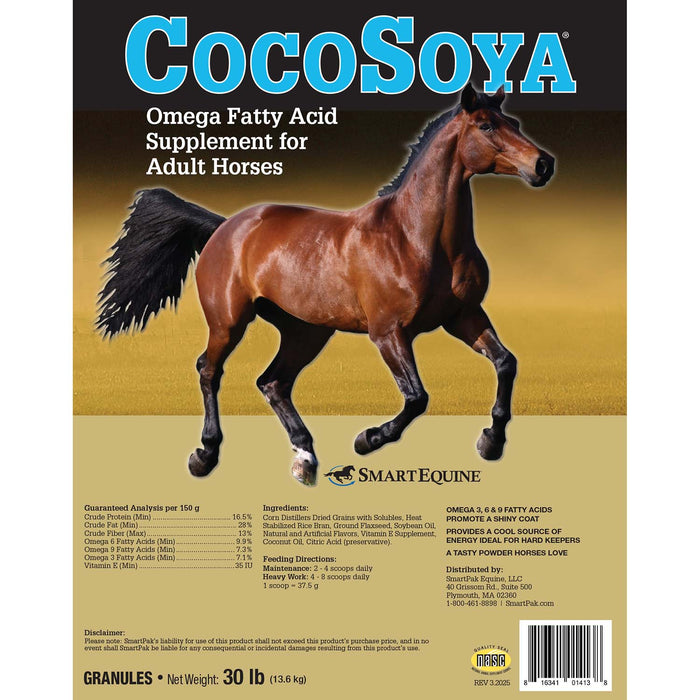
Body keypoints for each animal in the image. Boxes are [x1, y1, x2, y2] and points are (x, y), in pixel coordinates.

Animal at [97, 84, 554, 486]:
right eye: (486, 126)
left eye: (513, 121)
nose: (543, 164)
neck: (415, 238)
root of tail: (225, 227)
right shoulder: (388, 332)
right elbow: (416, 397)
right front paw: (367, 439)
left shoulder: (464, 317)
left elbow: (506, 363)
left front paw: (490, 442)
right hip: (228, 323)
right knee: (209, 370)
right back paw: (205, 456)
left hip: (306, 332)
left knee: (273, 383)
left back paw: (305, 457)